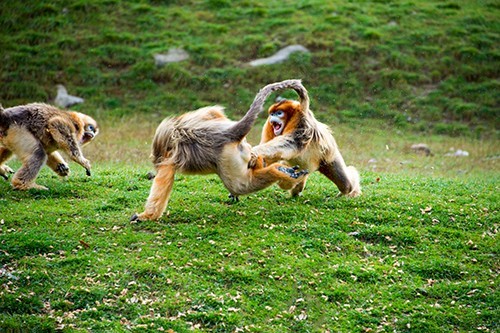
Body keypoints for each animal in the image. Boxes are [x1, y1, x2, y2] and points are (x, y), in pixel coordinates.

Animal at [131, 79, 308, 222]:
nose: (156, 160)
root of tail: (227, 134)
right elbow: (213, 110)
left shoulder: (168, 157)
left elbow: (163, 179)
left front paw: (146, 216)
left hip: (227, 158)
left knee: (239, 186)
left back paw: (278, 172)